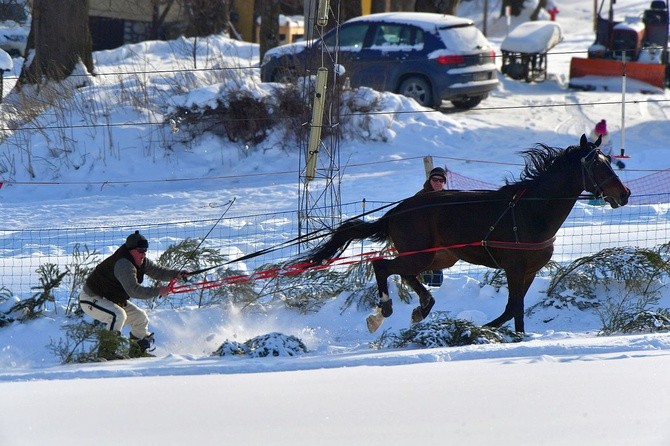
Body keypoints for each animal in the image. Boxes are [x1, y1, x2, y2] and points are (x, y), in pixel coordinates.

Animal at [308, 134, 632, 332]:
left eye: (608, 161)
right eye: (595, 164)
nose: (624, 193)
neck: (530, 210)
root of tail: (397, 210)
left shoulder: (529, 271)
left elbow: (514, 309)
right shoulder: (514, 267)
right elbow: (514, 307)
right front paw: (489, 331)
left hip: (438, 257)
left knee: (405, 274)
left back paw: (421, 308)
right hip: (419, 255)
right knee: (382, 266)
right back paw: (384, 310)